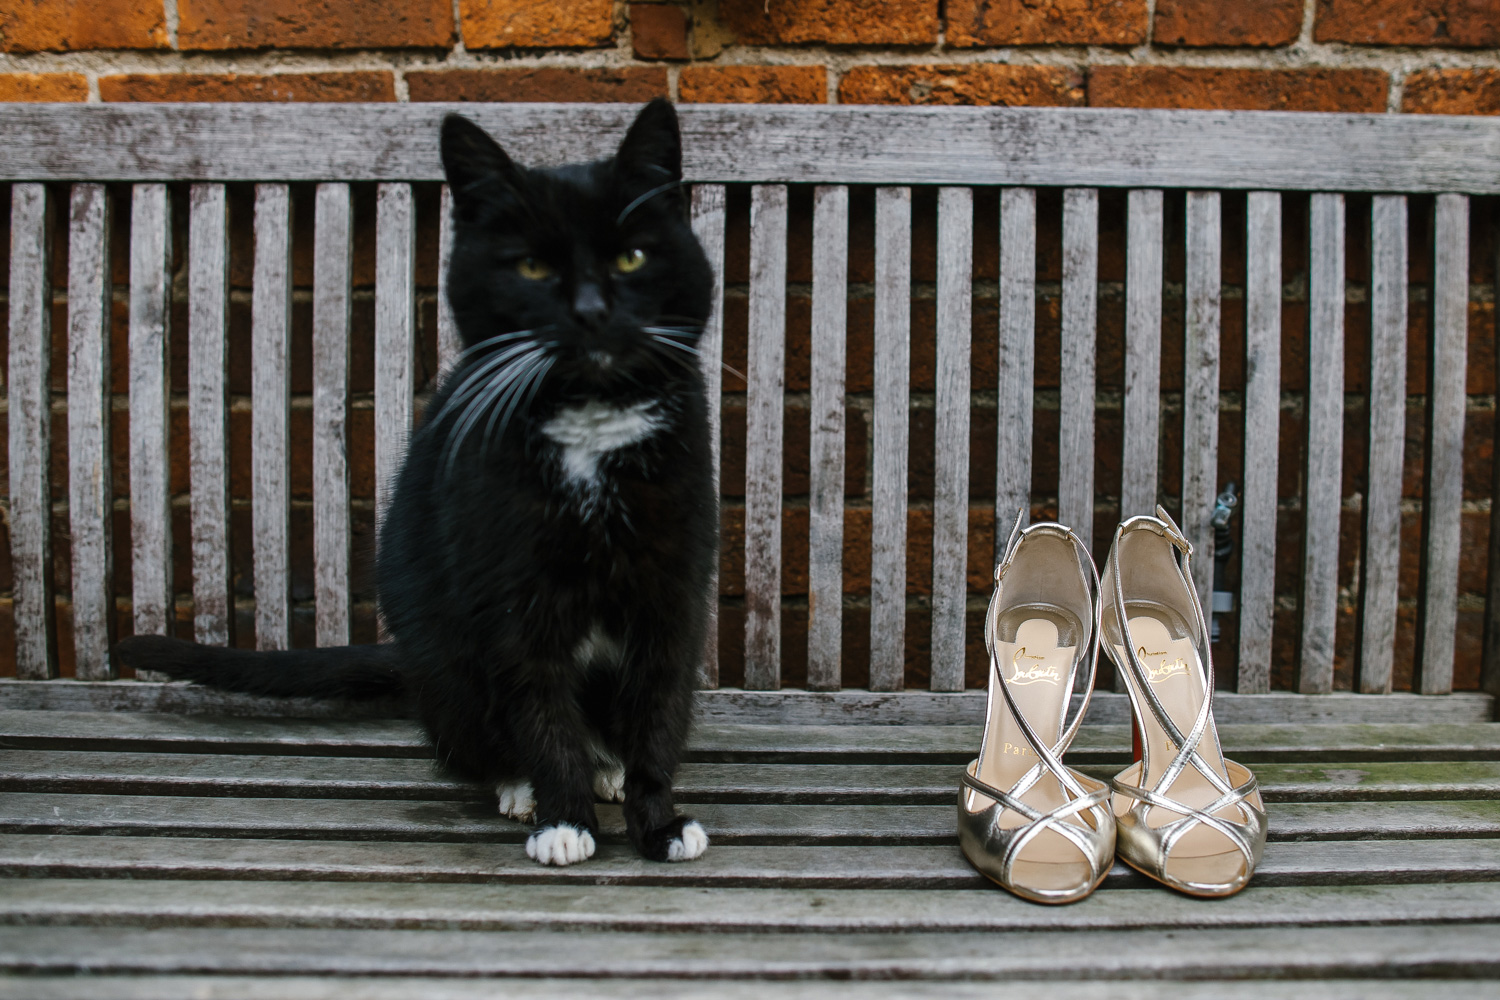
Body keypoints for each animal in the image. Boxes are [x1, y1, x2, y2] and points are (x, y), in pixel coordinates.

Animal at [120, 99, 717, 869]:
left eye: (631, 257)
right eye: (530, 266)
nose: (589, 310)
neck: (592, 425)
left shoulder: (672, 583)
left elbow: (659, 708)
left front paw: (659, 820)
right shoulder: (504, 588)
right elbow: (537, 705)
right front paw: (562, 817)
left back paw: (606, 766)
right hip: (442, 650)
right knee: (470, 730)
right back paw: (521, 784)